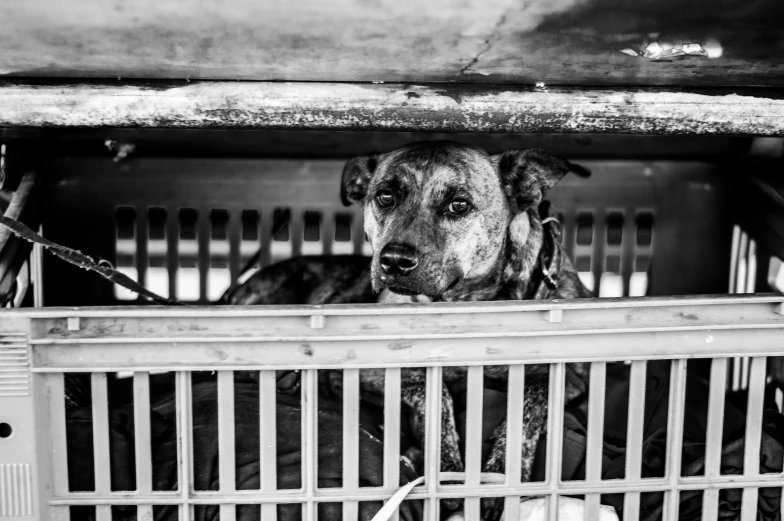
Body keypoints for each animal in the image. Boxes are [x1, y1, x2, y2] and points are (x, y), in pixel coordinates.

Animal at [224, 140, 592, 516]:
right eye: (385, 197)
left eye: (459, 204)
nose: (395, 261)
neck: (466, 303)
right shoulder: (361, 371)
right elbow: (434, 389)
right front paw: (448, 466)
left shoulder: (573, 376)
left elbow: (531, 398)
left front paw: (499, 475)